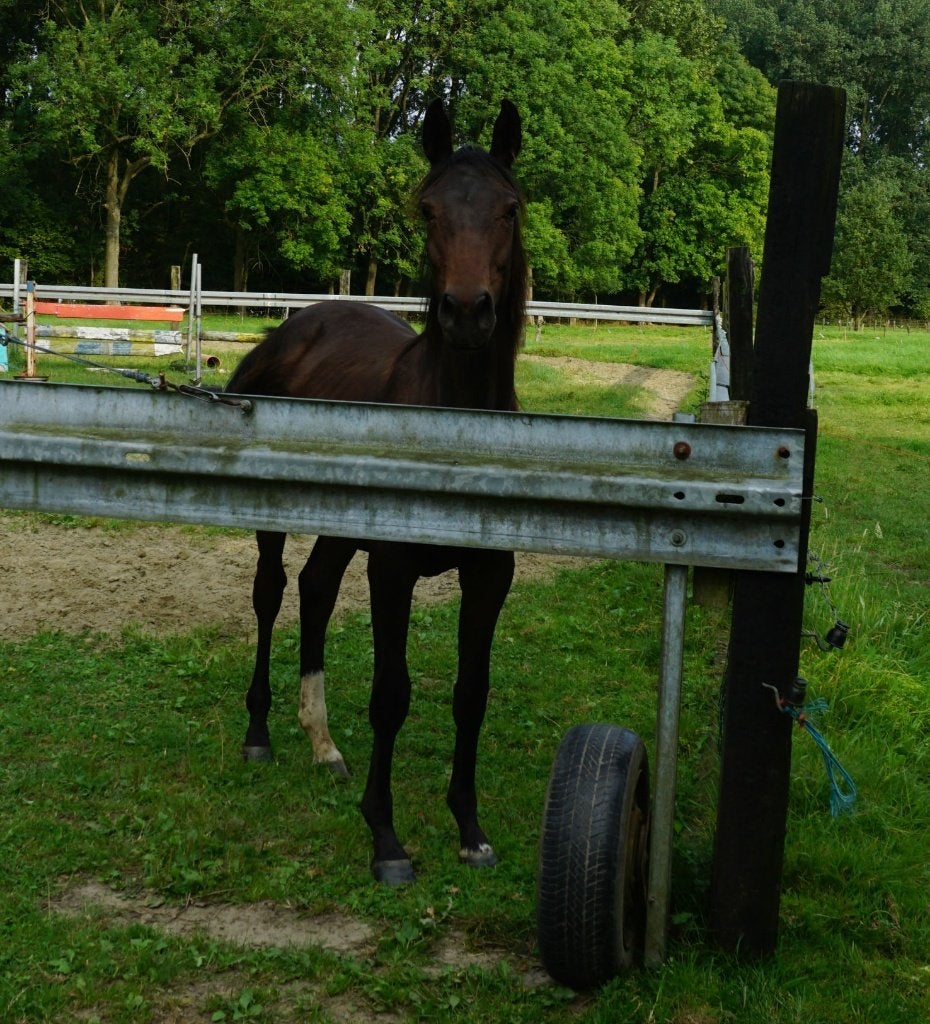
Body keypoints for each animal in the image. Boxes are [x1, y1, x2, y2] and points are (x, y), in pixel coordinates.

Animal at [226, 98, 526, 885]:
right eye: (427, 209)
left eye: (509, 208)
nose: (466, 313)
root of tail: (288, 332)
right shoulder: (392, 571)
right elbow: (392, 695)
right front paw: (386, 838)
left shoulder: (492, 576)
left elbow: (471, 694)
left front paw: (469, 829)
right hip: (275, 517)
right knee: (271, 592)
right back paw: (261, 732)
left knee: (315, 587)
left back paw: (323, 743)